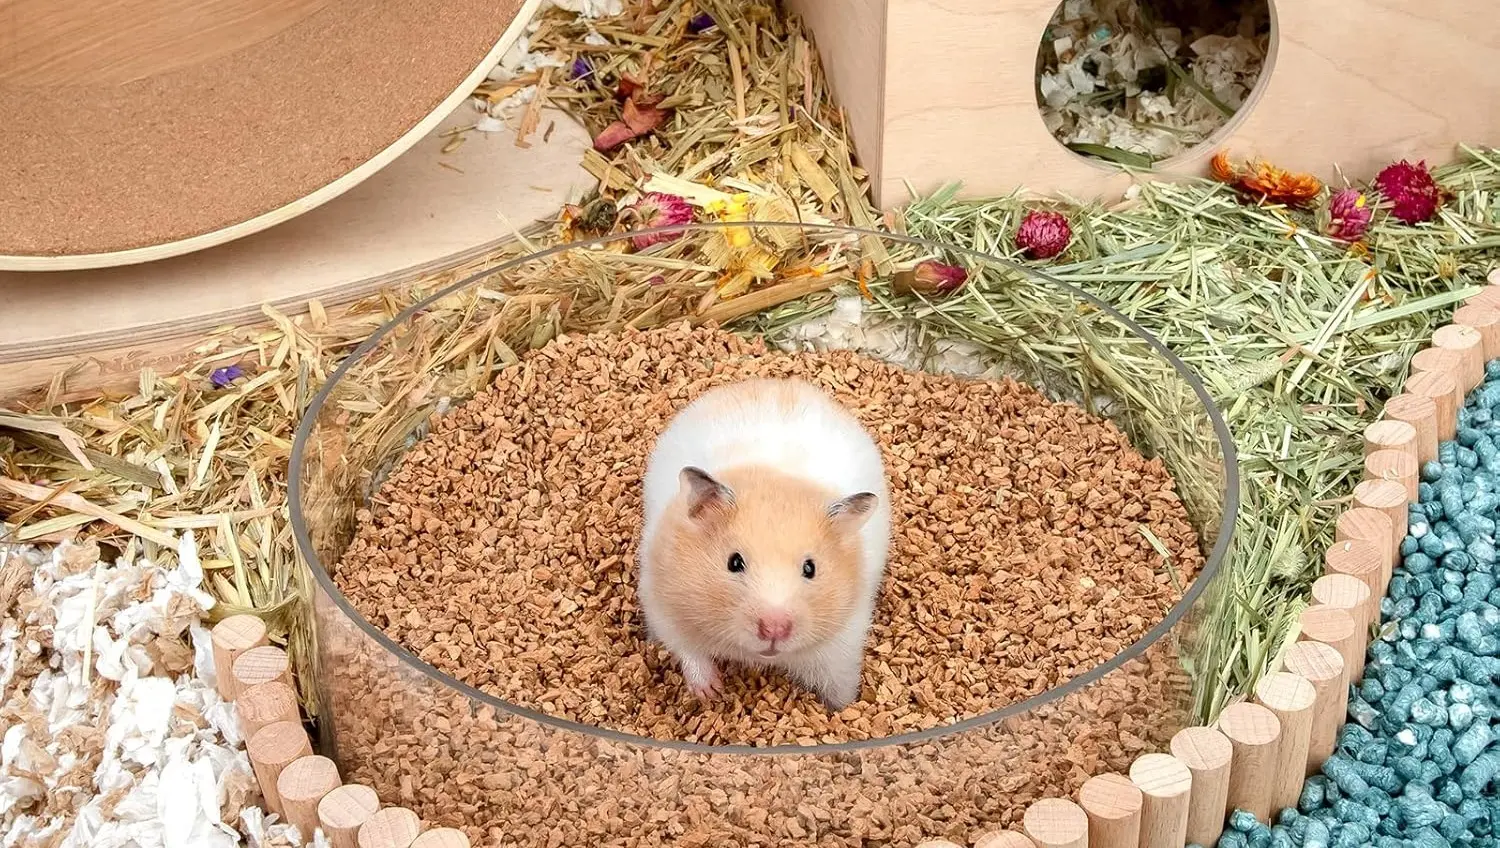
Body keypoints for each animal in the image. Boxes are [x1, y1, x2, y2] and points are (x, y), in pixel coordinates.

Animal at [638, 378, 890, 709]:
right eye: (734, 562)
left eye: (810, 568)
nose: (775, 629)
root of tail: (773, 381)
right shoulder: (663, 605)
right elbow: (688, 651)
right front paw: (711, 693)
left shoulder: (842, 641)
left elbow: (840, 685)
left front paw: (845, 708)